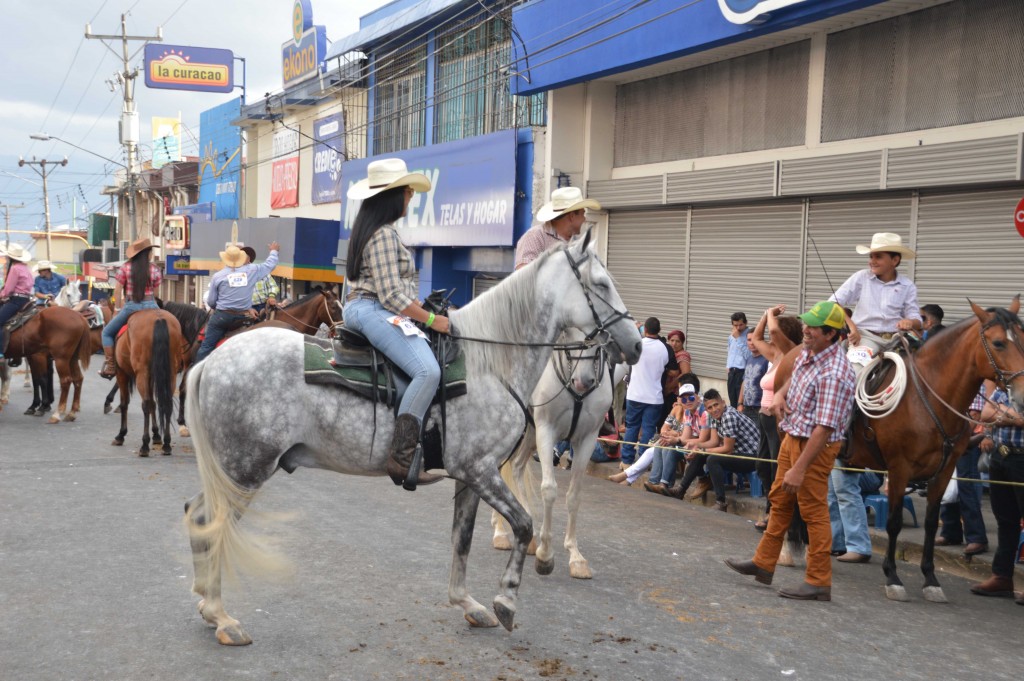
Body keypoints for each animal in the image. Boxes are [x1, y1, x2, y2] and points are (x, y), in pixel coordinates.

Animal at [112, 309, 184, 456]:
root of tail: (159, 318)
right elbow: (153, 403)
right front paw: (156, 435)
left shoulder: (121, 373)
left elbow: (124, 403)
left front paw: (121, 435)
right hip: (170, 373)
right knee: (166, 404)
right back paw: (166, 444)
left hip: (141, 374)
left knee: (145, 404)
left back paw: (144, 445)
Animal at [491, 329, 626, 577]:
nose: (583, 381)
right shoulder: (547, 431)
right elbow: (549, 489)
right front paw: (545, 554)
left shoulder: (586, 439)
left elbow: (574, 495)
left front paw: (575, 556)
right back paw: (500, 533)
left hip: (529, 433)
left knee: (516, 467)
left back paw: (528, 535)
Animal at [774, 296, 1024, 602]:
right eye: (999, 343)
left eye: (1023, 339)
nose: (1022, 393)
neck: (928, 398)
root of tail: (794, 351)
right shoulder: (899, 467)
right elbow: (893, 522)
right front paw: (893, 577)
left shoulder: (944, 471)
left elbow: (931, 523)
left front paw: (930, 579)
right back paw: (789, 549)